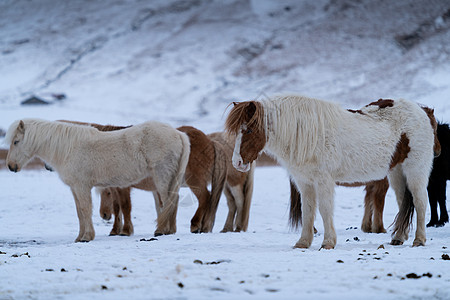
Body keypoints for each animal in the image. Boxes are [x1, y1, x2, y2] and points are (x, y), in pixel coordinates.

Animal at [6, 118, 191, 243]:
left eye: (16, 141)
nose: (10, 166)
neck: (69, 149)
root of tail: (178, 134)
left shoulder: (82, 186)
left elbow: (85, 209)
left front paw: (87, 237)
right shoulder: (75, 188)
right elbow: (79, 212)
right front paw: (79, 236)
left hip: (162, 176)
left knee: (168, 201)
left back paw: (162, 230)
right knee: (172, 201)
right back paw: (168, 230)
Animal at [99, 126, 255, 234]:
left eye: (106, 193)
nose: (104, 215)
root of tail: (211, 142)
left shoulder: (123, 187)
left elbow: (123, 206)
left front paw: (123, 230)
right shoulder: (157, 189)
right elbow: (163, 205)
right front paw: (167, 228)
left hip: (204, 182)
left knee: (213, 198)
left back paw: (198, 225)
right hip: (224, 185)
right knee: (228, 203)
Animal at [225, 95, 436, 248]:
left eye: (249, 130)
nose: (237, 162)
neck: (306, 134)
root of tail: (420, 111)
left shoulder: (323, 180)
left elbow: (325, 209)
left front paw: (328, 243)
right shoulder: (305, 183)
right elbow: (308, 211)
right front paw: (303, 243)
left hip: (415, 170)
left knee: (420, 202)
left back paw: (419, 240)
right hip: (397, 173)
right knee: (403, 203)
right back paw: (399, 238)